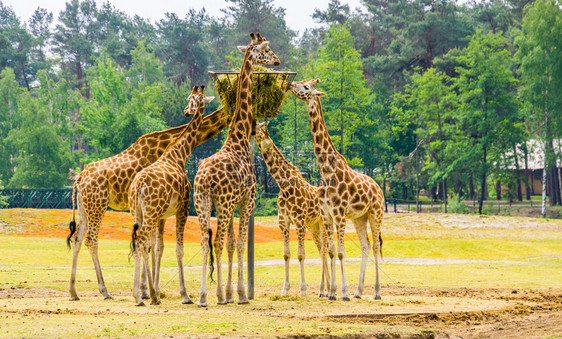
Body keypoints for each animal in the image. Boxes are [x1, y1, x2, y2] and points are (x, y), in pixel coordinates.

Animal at [66, 105, 229, 302]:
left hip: (84, 207)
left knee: (77, 239)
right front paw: (147, 291)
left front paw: (147, 290)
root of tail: (79, 179)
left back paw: (73, 292)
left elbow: (150, 245)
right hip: (98, 205)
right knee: (91, 239)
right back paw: (105, 291)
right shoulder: (153, 208)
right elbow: (150, 244)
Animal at [128, 85, 213, 308]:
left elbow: (159, 248)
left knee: (141, 243)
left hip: (139, 212)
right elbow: (178, 249)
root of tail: (138, 187)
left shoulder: (163, 216)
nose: (186, 111)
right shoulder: (183, 208)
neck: (180, 155)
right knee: (141, 242)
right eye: (190, 99)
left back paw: (146, 295)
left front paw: (157, 291)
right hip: (150, 213)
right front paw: (185, 295)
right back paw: (138, 297)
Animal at [194, 33, 278, 308]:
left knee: (204, 241)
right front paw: (239, 294)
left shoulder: (233, 203)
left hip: (203, 202)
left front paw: (231, 292)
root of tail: (204, 179)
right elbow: (240, 244)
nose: (277, 60)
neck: (239, 137)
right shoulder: (247, 200)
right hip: (222, 203)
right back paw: (217, 296)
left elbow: (232, 244)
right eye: (267, 49)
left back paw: (202, 296)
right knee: (217, 242)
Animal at [253, 122, 328, 298]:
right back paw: (324, 290)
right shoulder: (283, 222)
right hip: (313, 226)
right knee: (322, 250)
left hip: (323, 223)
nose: (250, 130)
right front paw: (285, 288)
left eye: (258, 126)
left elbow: (301, 254)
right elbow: (286, 254)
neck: (284, 186)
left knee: (326, 251)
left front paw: (303, 289)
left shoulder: (299, 222)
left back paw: (326, 289)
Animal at [288, 79, 384, 300]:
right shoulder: (326, 215)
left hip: (376, 213)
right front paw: (332, 292)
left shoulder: (339, 213)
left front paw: (344, 292)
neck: (326, 171)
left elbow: (341, 252)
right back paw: (359, 291)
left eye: (306, 87)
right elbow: (331, 251)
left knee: (375, 246)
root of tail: (379, 188)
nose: (290, 83)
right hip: (359, 217)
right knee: (366, 246)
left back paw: (376, 292)